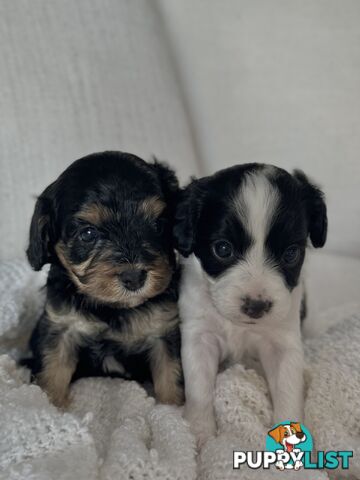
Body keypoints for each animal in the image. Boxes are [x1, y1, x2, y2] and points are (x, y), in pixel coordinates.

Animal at [25, 152, 183, 406]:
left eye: (158, 225)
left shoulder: (164, 331)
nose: (134, 277)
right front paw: (51, 405)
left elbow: (170, 375)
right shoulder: (61, 329)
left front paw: (173, 410)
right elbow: (52, 372)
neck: (111, 308)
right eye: (88, 234)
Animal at [173, 164, 328, 446]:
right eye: (223, 249)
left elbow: (288, 391)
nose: (256, 306)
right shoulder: (200, 336)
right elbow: (199, 389)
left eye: (291, 253)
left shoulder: (282, 343)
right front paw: (200, 434)